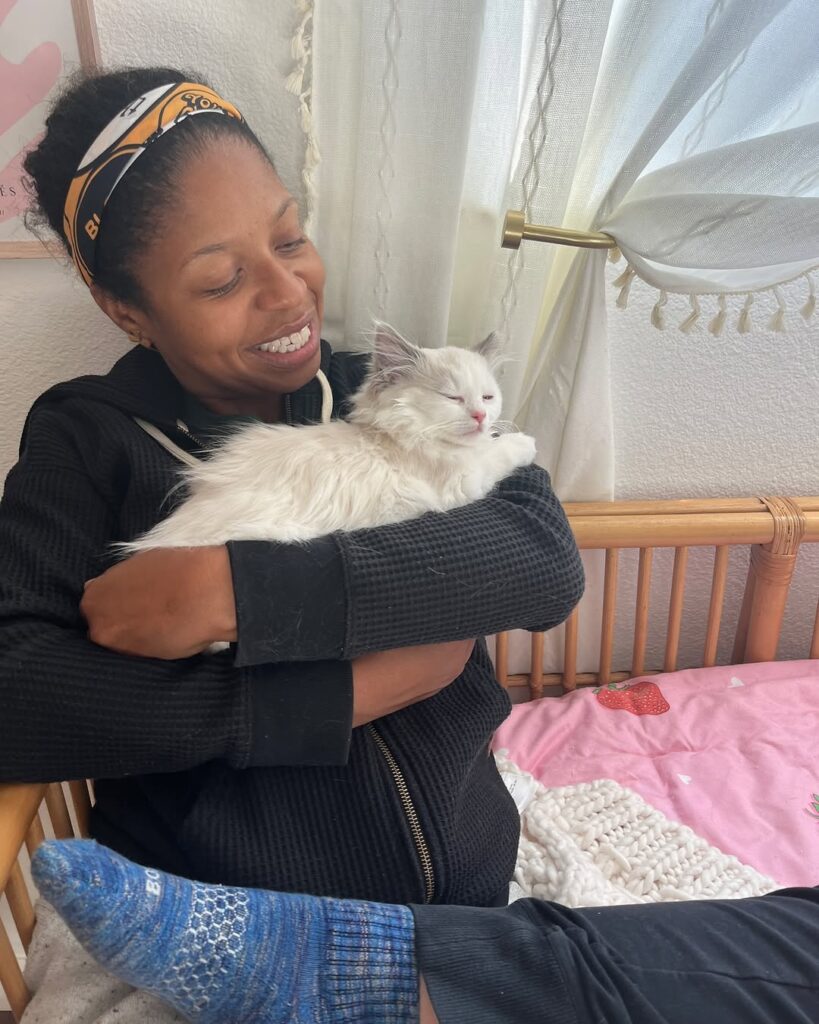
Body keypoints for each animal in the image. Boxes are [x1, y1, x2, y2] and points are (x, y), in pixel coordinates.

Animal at [123, 325, 537, 555]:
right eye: (452, 397)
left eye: (487, 397)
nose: (481, 416)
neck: (393, 435)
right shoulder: (463, 481)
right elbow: (497, 453)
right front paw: (527, 443)